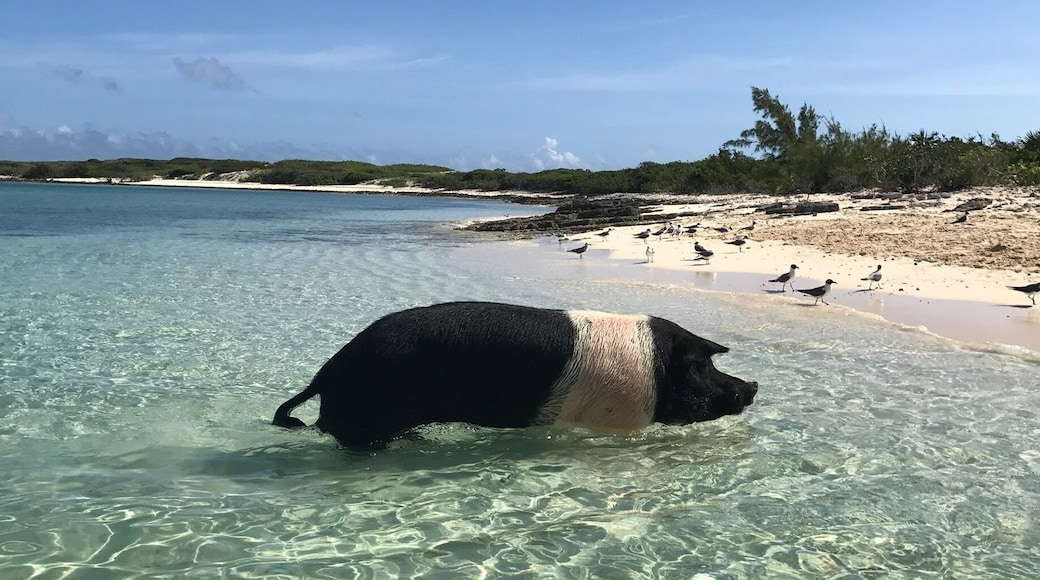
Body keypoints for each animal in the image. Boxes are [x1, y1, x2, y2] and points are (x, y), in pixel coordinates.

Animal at [273, 301, 758, 448]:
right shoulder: (616, 418)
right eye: (703, 366)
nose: (752, 385)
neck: (656, 373)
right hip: (366, 418)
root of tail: (326, 373)